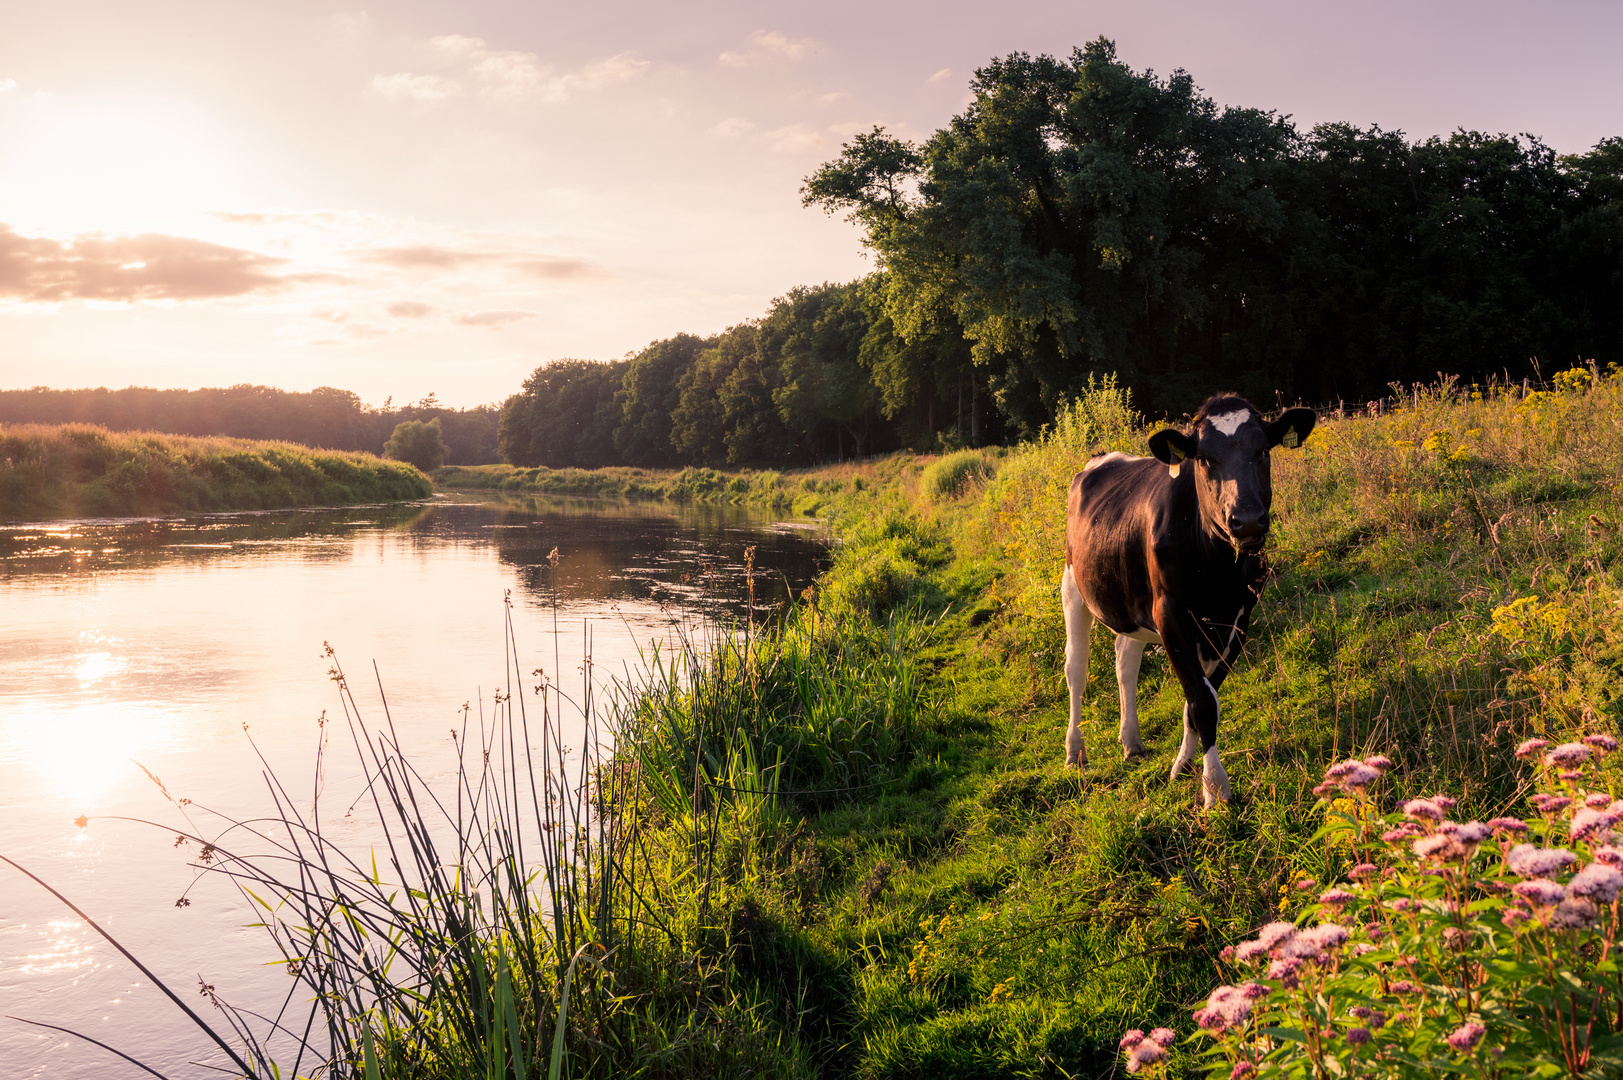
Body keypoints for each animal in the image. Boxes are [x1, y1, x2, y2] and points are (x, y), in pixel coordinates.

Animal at [1064, 394, 1317, 799]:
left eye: (1263, 450)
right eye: (1205, 459)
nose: (1247, 521)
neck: (1219, 572)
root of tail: (1101, 457)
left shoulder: (1239, 619)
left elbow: (1202, 695)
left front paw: (1183, 764)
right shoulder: (1170, 612)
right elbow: (1200, 699)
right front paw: (1215, 786)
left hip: (1133, 601)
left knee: (1125, 660)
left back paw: (1131, 743)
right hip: (1073, 584)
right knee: (1076, 668)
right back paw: (1075, 751)